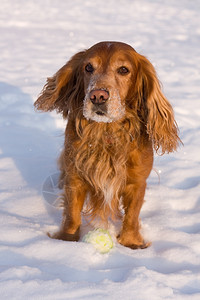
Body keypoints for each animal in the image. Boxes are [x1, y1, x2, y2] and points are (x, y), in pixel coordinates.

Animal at [34, 41, 180, 248]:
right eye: (88, 67)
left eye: (123, 69)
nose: (98, 96)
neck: (107, 132)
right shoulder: (76, 177)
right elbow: (72, 213)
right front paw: (67, 241)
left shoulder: (137, 181)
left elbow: (132, 215)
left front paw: (131, 243)